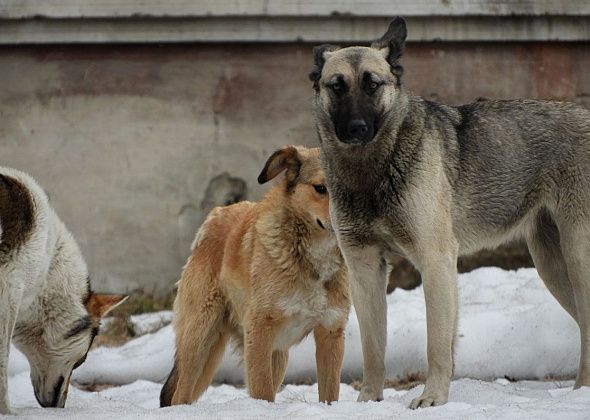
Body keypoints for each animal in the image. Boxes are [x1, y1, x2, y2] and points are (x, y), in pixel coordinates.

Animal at [160, 146, 352, 406]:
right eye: (320, 188)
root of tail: (214, 216)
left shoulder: (331, 332)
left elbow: (330, 394)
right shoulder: (260, 328)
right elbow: (262, 392)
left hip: (276, 354)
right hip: (199, 338)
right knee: (180, 395)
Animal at [310, 16, 590, 406]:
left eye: (372, 85)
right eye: (336, 86)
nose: (356, 129)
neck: (372, 170)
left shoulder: (435, 261)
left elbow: (437, 345)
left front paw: (432, 398)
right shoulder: (365, 269)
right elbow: (372, 348)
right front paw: (368, 402)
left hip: (578, 256)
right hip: (553, 265)